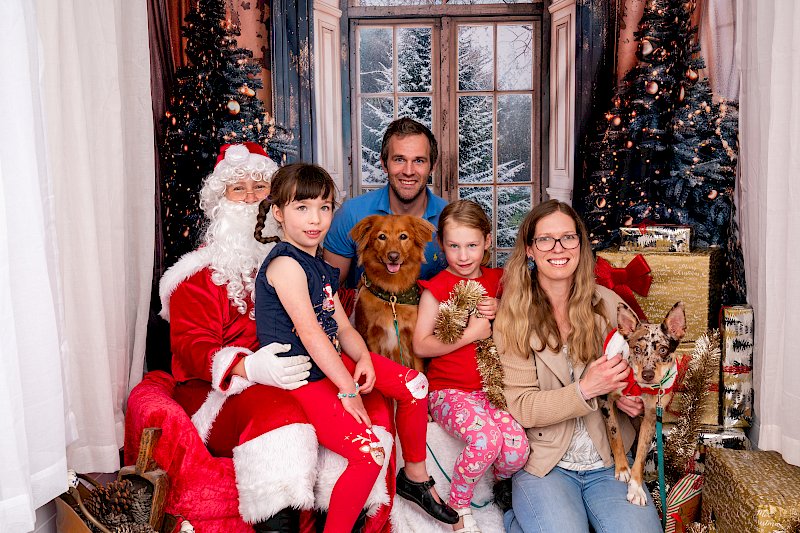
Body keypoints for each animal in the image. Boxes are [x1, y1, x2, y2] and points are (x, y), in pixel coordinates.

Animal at [350, 214, 435, 372]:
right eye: (382, 237)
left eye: (403, 236)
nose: (393, 256)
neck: (391, 295)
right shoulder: (371, 338)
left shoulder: (412, 339)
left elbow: (419, 369)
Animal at [601, 301, 686, 506]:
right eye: (637, 349)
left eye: (663, 350)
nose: (647, 374)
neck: (638, 388)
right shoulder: (605, 400)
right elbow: (615, 435)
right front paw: (623, 469)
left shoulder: (650, 416)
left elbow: (640, 455)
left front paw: (636, 488)